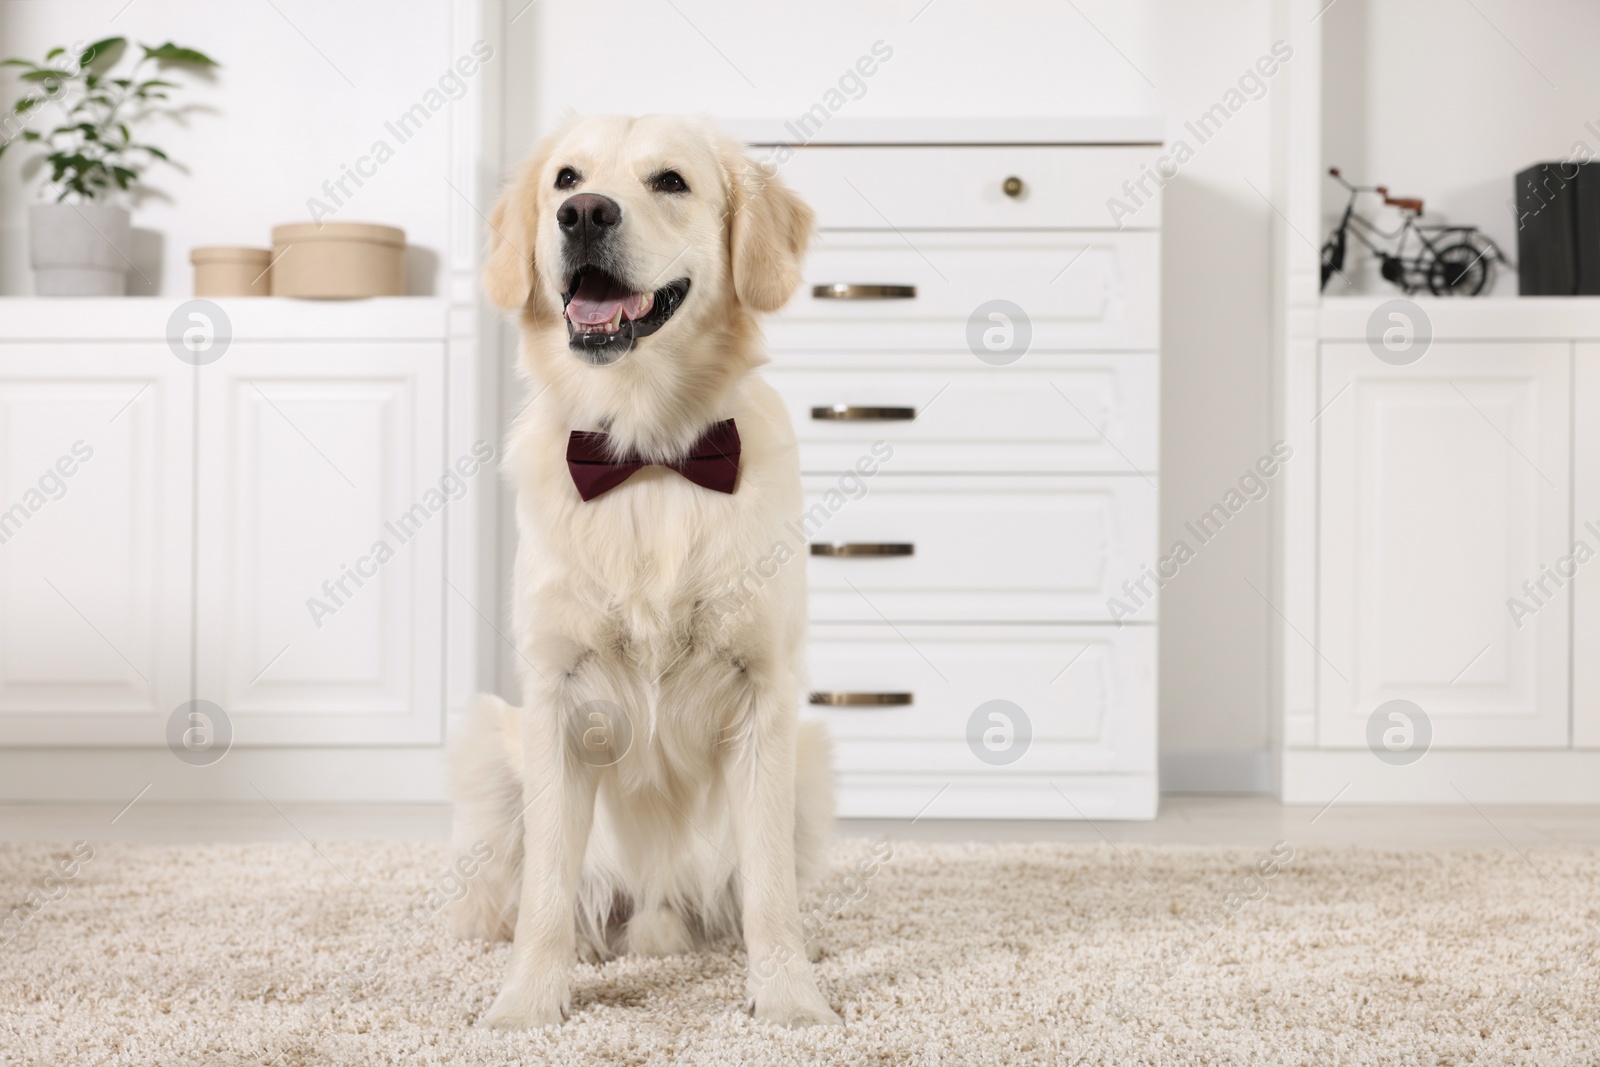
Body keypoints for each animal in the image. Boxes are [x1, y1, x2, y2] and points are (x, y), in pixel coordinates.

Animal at [438, 115, 838, 1023]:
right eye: (565, 178)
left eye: (670, 182)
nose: (584, 213)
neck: (647, 455)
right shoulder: (554, 695)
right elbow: (548, 885)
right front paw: (528, 1003)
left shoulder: (766, 696)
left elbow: (770, 887)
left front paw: (789, 997)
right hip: (486, 741)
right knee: (518, 891)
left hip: (810, 753)